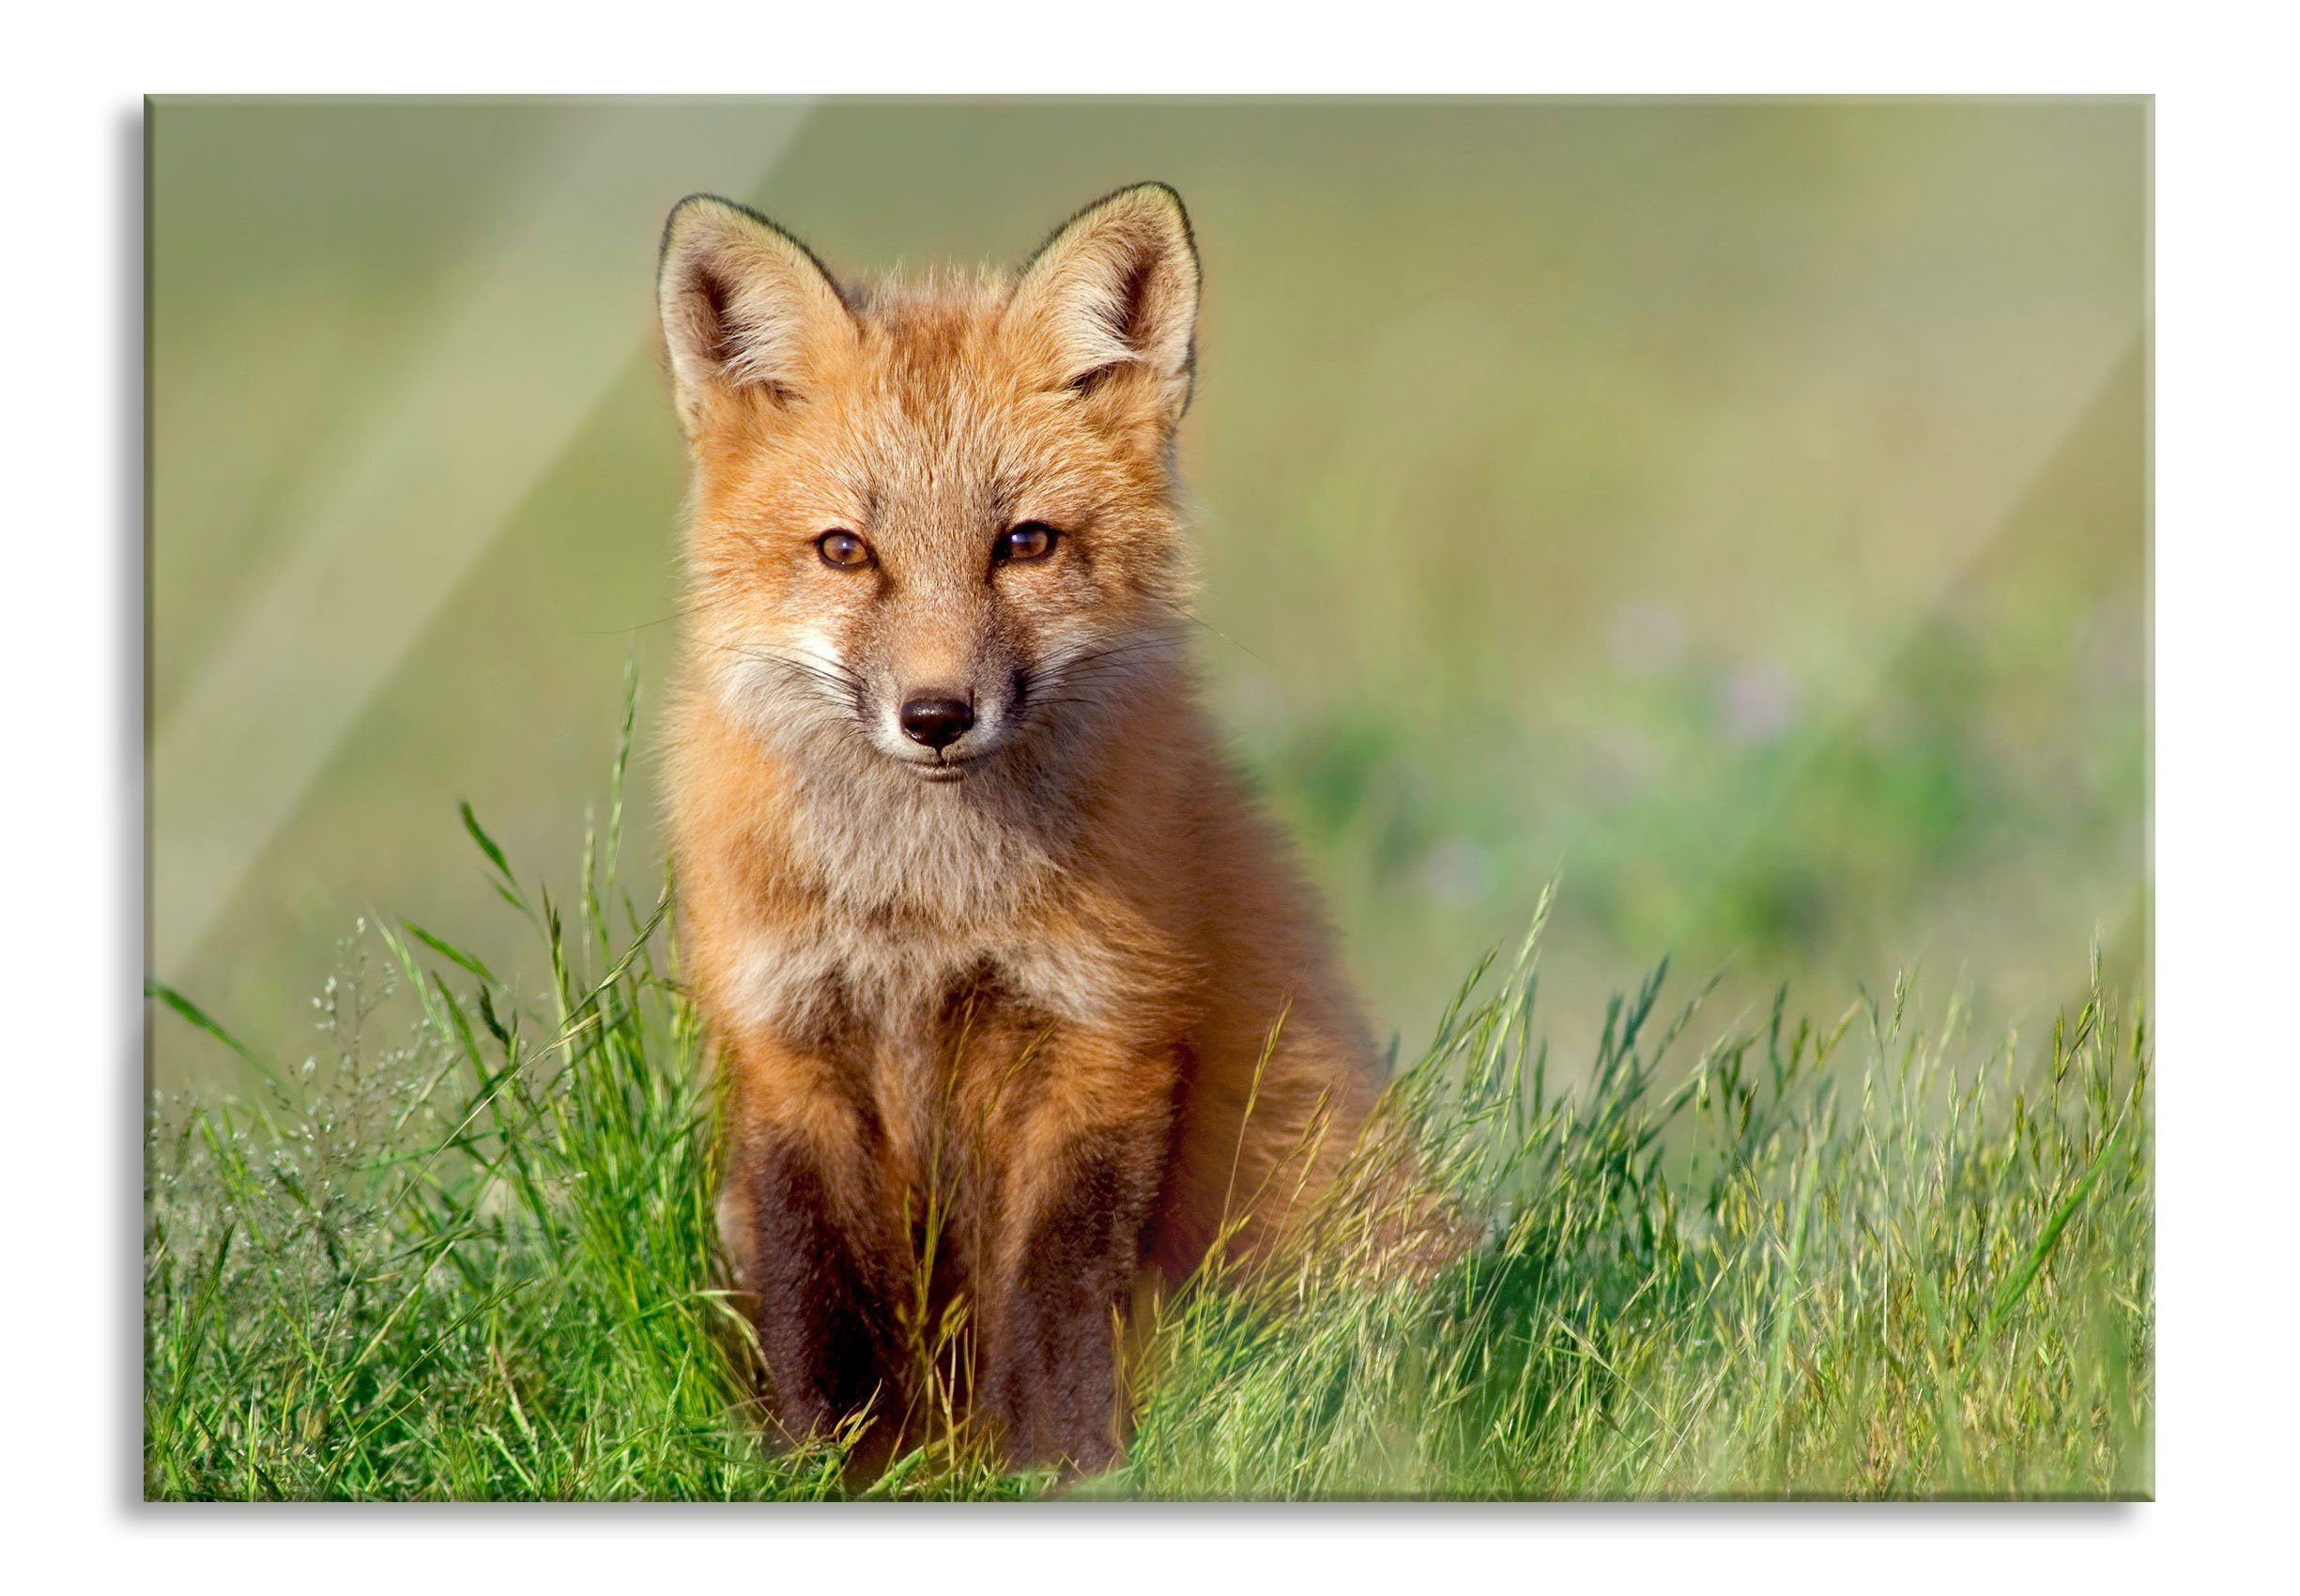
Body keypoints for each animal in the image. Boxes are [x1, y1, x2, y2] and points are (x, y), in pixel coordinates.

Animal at [657, 182, 1398, 1475]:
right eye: (845, 550)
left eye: (1024, 543)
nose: (936, 714)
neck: (922, 909)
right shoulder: (786, 1042)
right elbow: (816, 1295)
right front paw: (823, 1467)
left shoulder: (1103, 1033)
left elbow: (1052, 1298)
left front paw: (1063, 1469)